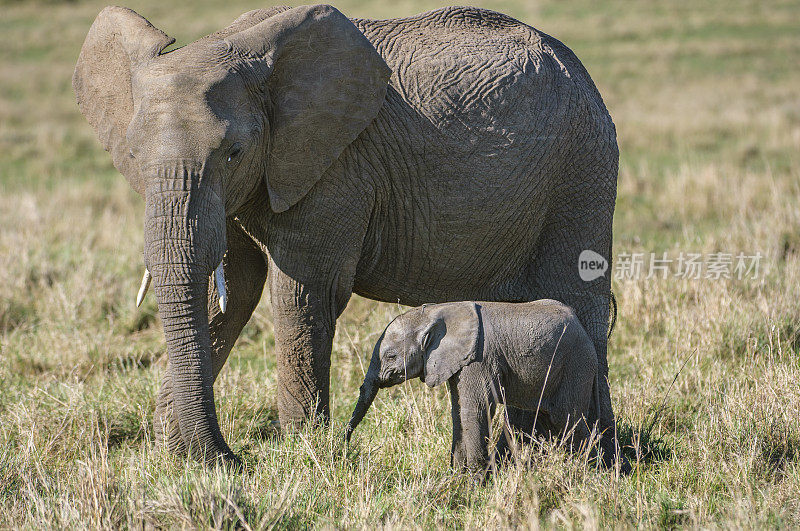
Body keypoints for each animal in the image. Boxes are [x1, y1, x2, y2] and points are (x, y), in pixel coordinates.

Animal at [344, 302, 600, 476]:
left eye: (390, 356)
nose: (345, 447)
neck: (436, 312)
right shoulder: (455, 361)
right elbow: (458, 412)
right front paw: (456, 477)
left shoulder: (478, 359)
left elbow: (475, 409)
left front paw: (475, 482)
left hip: (577, 363)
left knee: (568, 418)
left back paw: (590, 472)